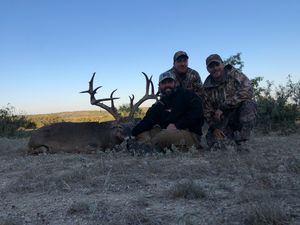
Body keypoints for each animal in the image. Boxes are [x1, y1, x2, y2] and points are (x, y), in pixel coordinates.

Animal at [27, 73, 157, 154]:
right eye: (119, 126)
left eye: (133, 125)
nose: (129, 137)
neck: (105, 136)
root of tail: (31, 137)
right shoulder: (84, 146)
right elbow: (100, 150)